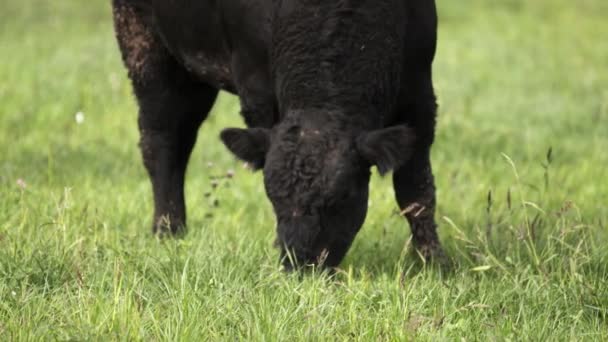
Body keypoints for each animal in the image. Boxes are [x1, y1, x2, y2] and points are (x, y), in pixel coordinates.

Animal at [111, 0, 442, 270]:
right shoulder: (255, 85)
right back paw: (168, 232)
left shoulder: (419, 88)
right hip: (145, 46)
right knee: (163, 141)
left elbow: (416, 188)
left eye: (343, 196)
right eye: (272, 196)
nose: (301, 264)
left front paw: (433, 263)